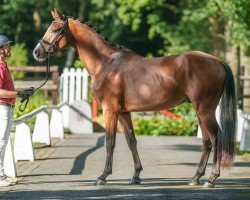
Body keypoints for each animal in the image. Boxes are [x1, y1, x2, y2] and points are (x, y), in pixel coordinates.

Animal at [32, 9, 236, 188]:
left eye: (55, 30)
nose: (37, 52)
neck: (106, 63)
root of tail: (217, 61)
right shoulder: (123, 112)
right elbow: (131, 141)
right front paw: (136, 176)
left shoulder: (110, 111)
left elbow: (110, 142)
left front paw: (103, 176)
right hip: (199, 111)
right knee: (206, 141)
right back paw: (195, 178)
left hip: (205, 109)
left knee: (216, 138)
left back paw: (211, 179)